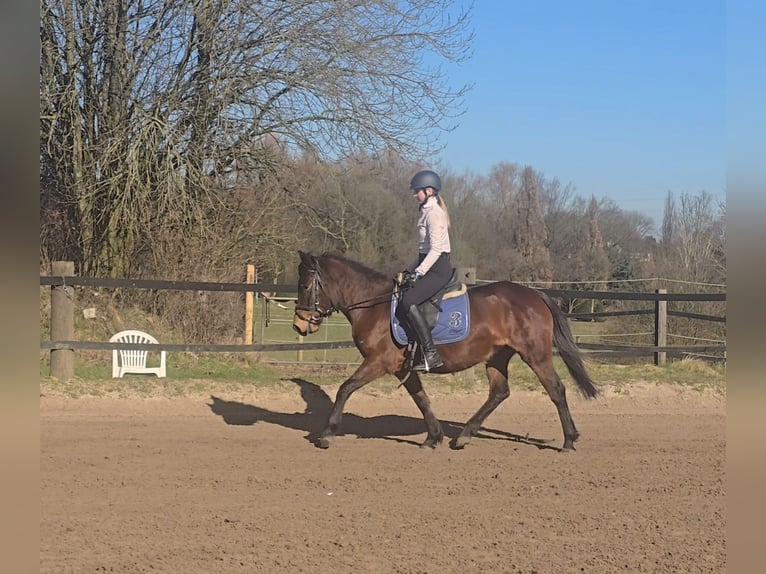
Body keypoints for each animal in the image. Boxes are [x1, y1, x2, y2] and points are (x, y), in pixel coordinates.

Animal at [294, 252, 600, 454]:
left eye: (306, 285)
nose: (299, 324)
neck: (373, 306)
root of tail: (535, 295)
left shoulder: (379, 361)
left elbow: (345, 389)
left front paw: (327, 434)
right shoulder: (403, 367)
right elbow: (421, 399)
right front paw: (433, 437)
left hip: (535, 355)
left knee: (556, 389)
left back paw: (569, 440)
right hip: (497, 356)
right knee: (499, 392)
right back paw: (464, 435)